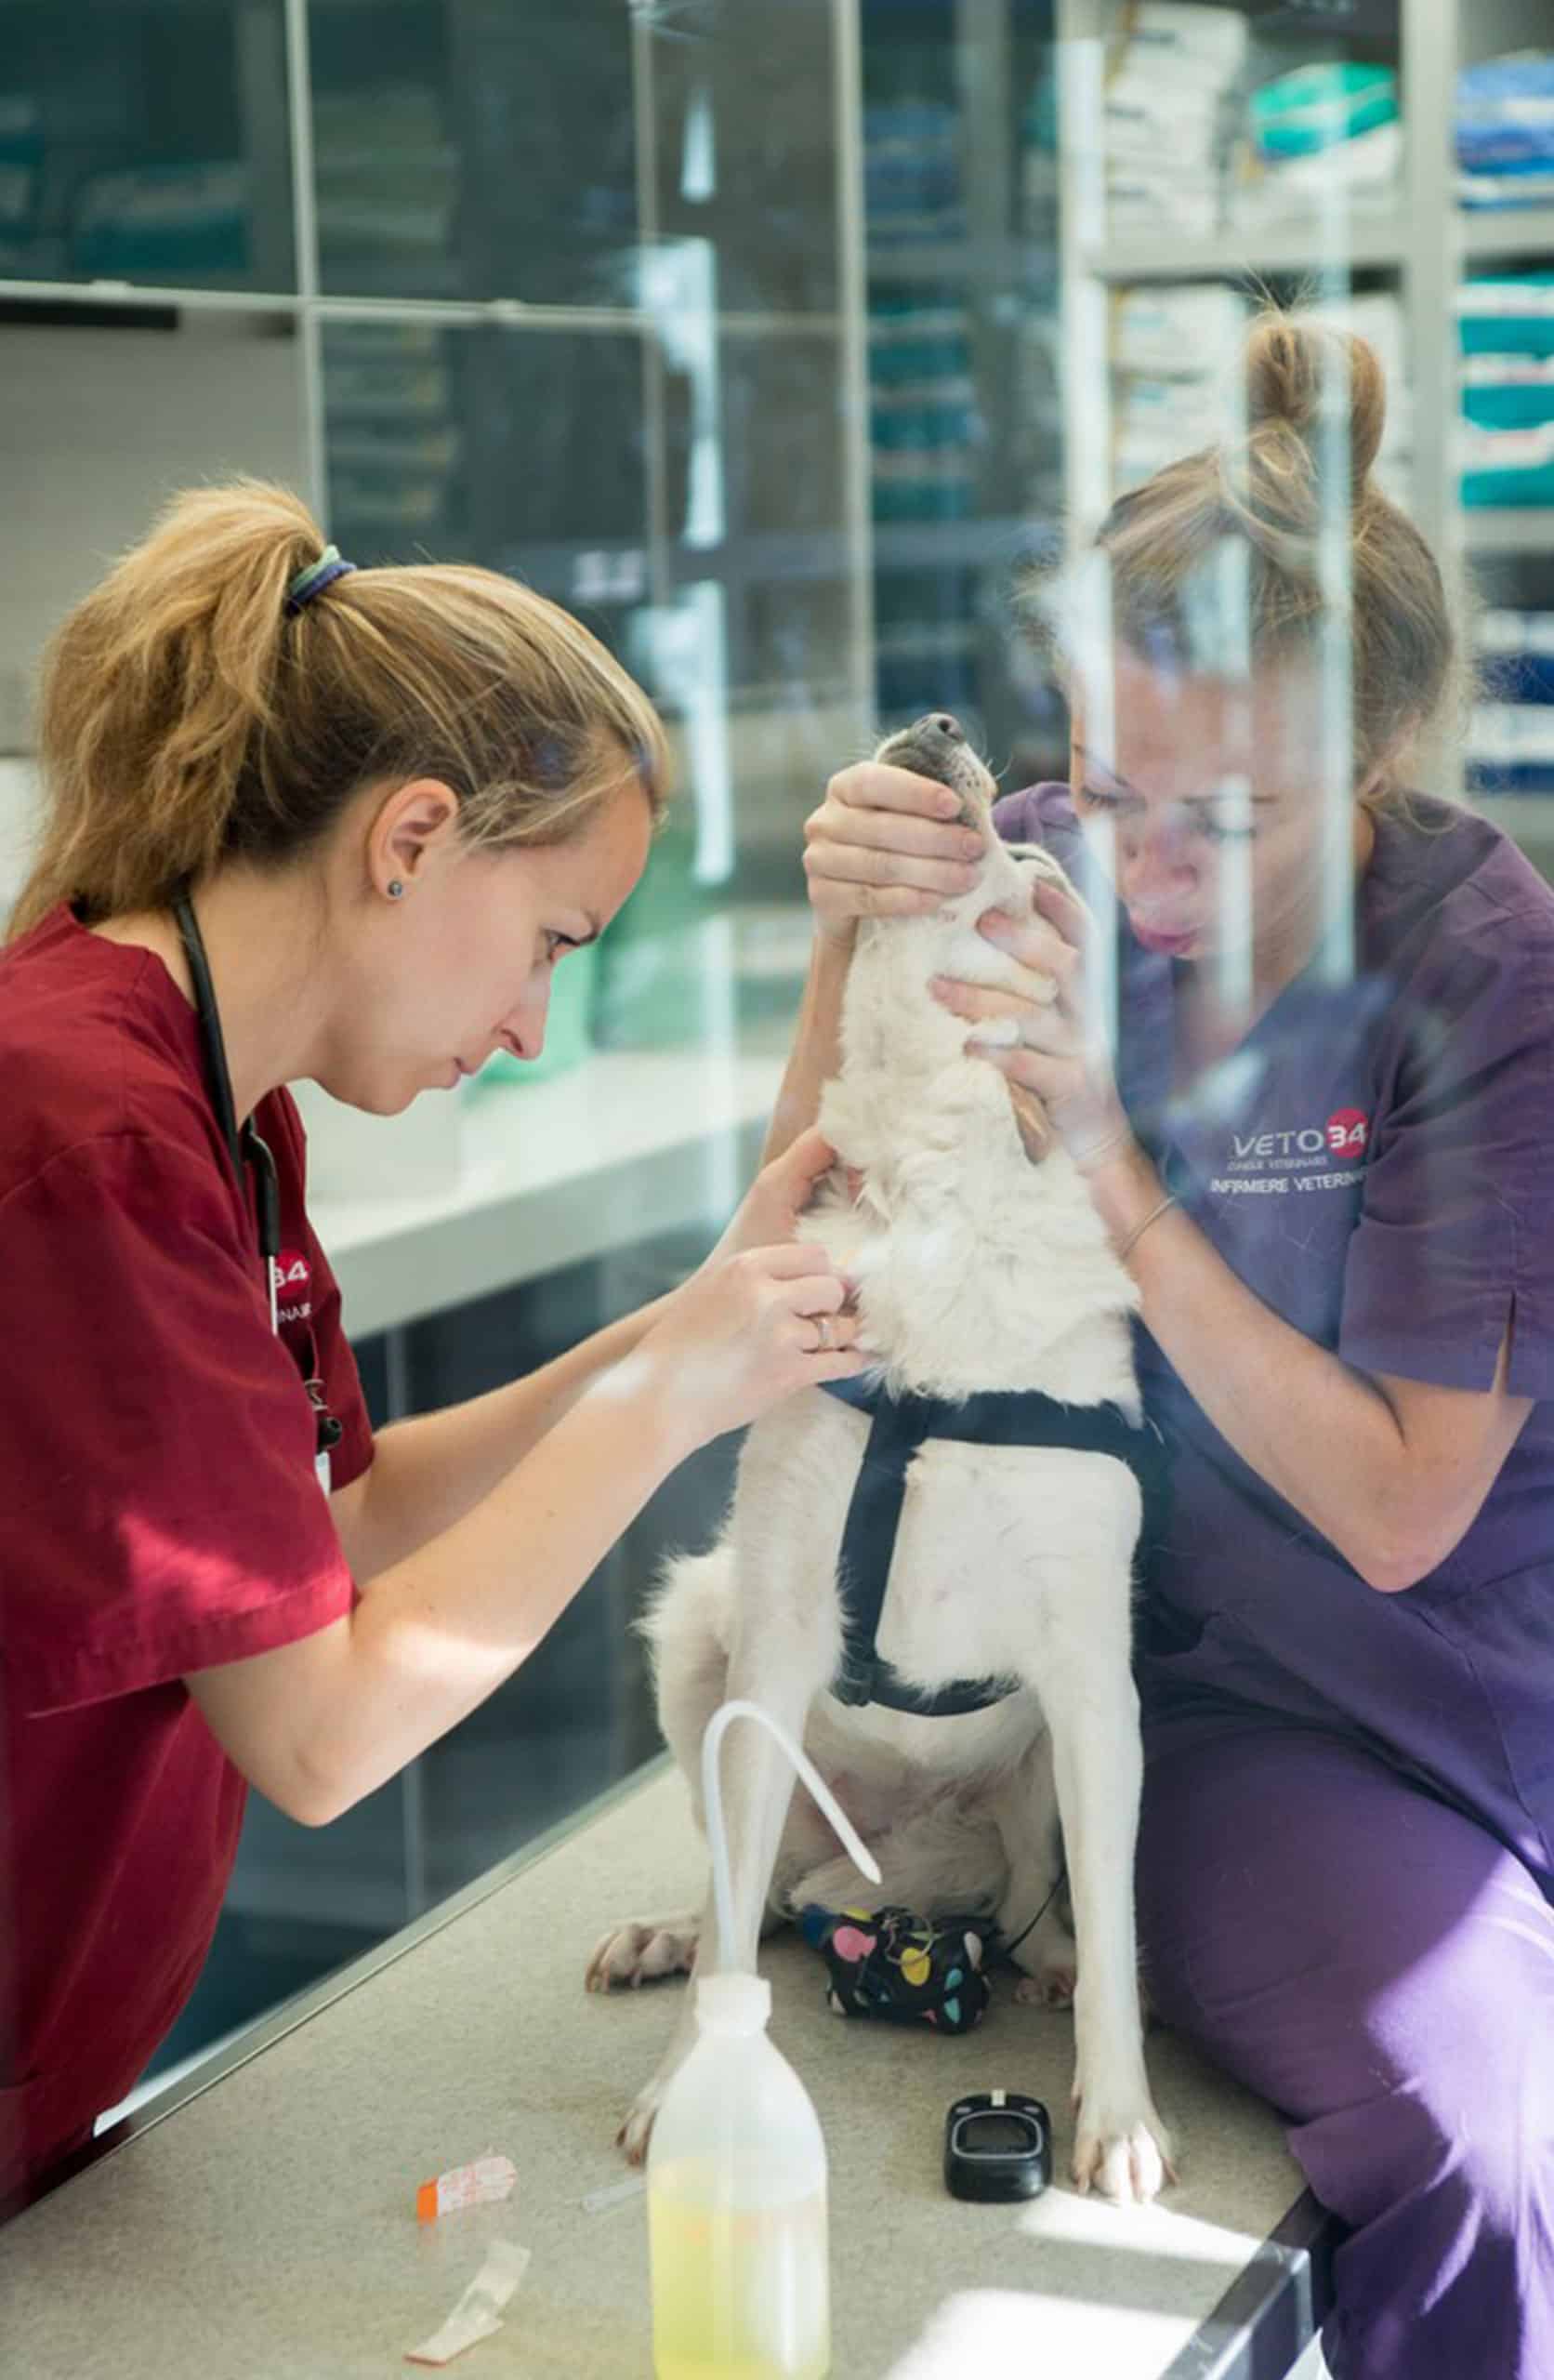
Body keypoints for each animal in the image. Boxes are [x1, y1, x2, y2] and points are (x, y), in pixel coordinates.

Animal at [587, 708, 1170, 2208]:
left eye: (1033, 866)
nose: (946, 721)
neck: (935, 1190)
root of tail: (895, 1864)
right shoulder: (779, 1639)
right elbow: (733, 1931)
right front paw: (689, 2084)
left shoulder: (1095, 1675)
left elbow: (1119, 1934)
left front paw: (1120, 2117)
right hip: (698, 1637)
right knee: (745, 1892)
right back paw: (672, 1932)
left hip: (1031, 1774)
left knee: (1029, 1894)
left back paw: (1043, 1957)